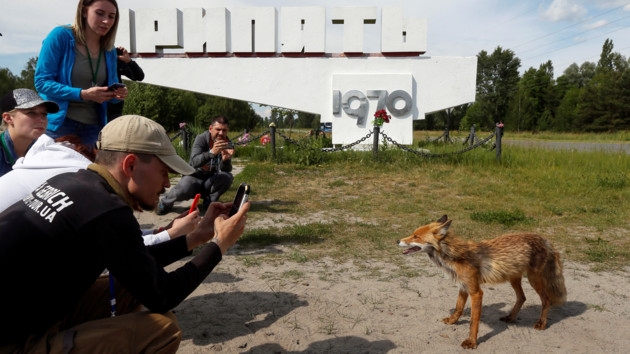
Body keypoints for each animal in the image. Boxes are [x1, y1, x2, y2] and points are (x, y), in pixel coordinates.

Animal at [398, 214, 572, 350]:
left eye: (416, 237)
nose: (397, 240)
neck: (456, 256)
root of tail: (544, 238)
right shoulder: (464, 286)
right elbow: (458, 307)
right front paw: (453, 321)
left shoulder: (476, 292)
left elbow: (473, 321)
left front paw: (471, 342)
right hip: (514, 278)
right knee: (522, 297)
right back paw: (511, 318)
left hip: (533, 279)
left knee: (546, 300)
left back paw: (541, 323)